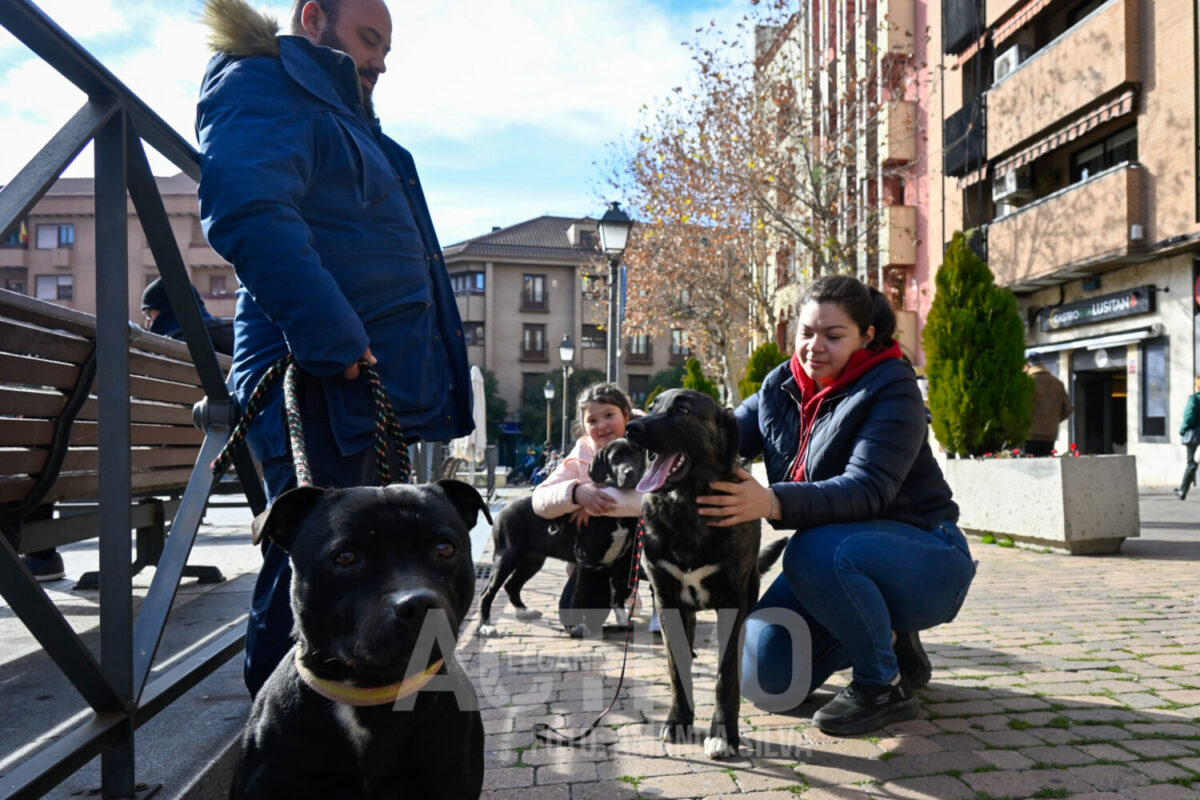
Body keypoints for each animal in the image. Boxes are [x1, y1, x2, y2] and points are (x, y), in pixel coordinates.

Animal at [477, 438, 648, 638]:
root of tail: (503, 510)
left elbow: (618, 593)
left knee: (512, 585)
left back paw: (524, 611)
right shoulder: (587, 560)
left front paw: (622, 620)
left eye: (635, 454)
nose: (629, 473)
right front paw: (575, 626)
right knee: (487, 592)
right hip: (506, 557)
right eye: (615, 458)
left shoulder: (623, 560)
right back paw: (485, 626)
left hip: (532, 560)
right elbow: (580, 595)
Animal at [628, 391, 787, 762]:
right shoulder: (666, 599)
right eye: (653, 407)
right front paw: (678, 720)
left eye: (682, 409)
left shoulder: (734, 601)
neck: (687, 507)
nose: (631, 427)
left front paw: (723, 734)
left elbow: (725, 675)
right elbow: (676, 667)